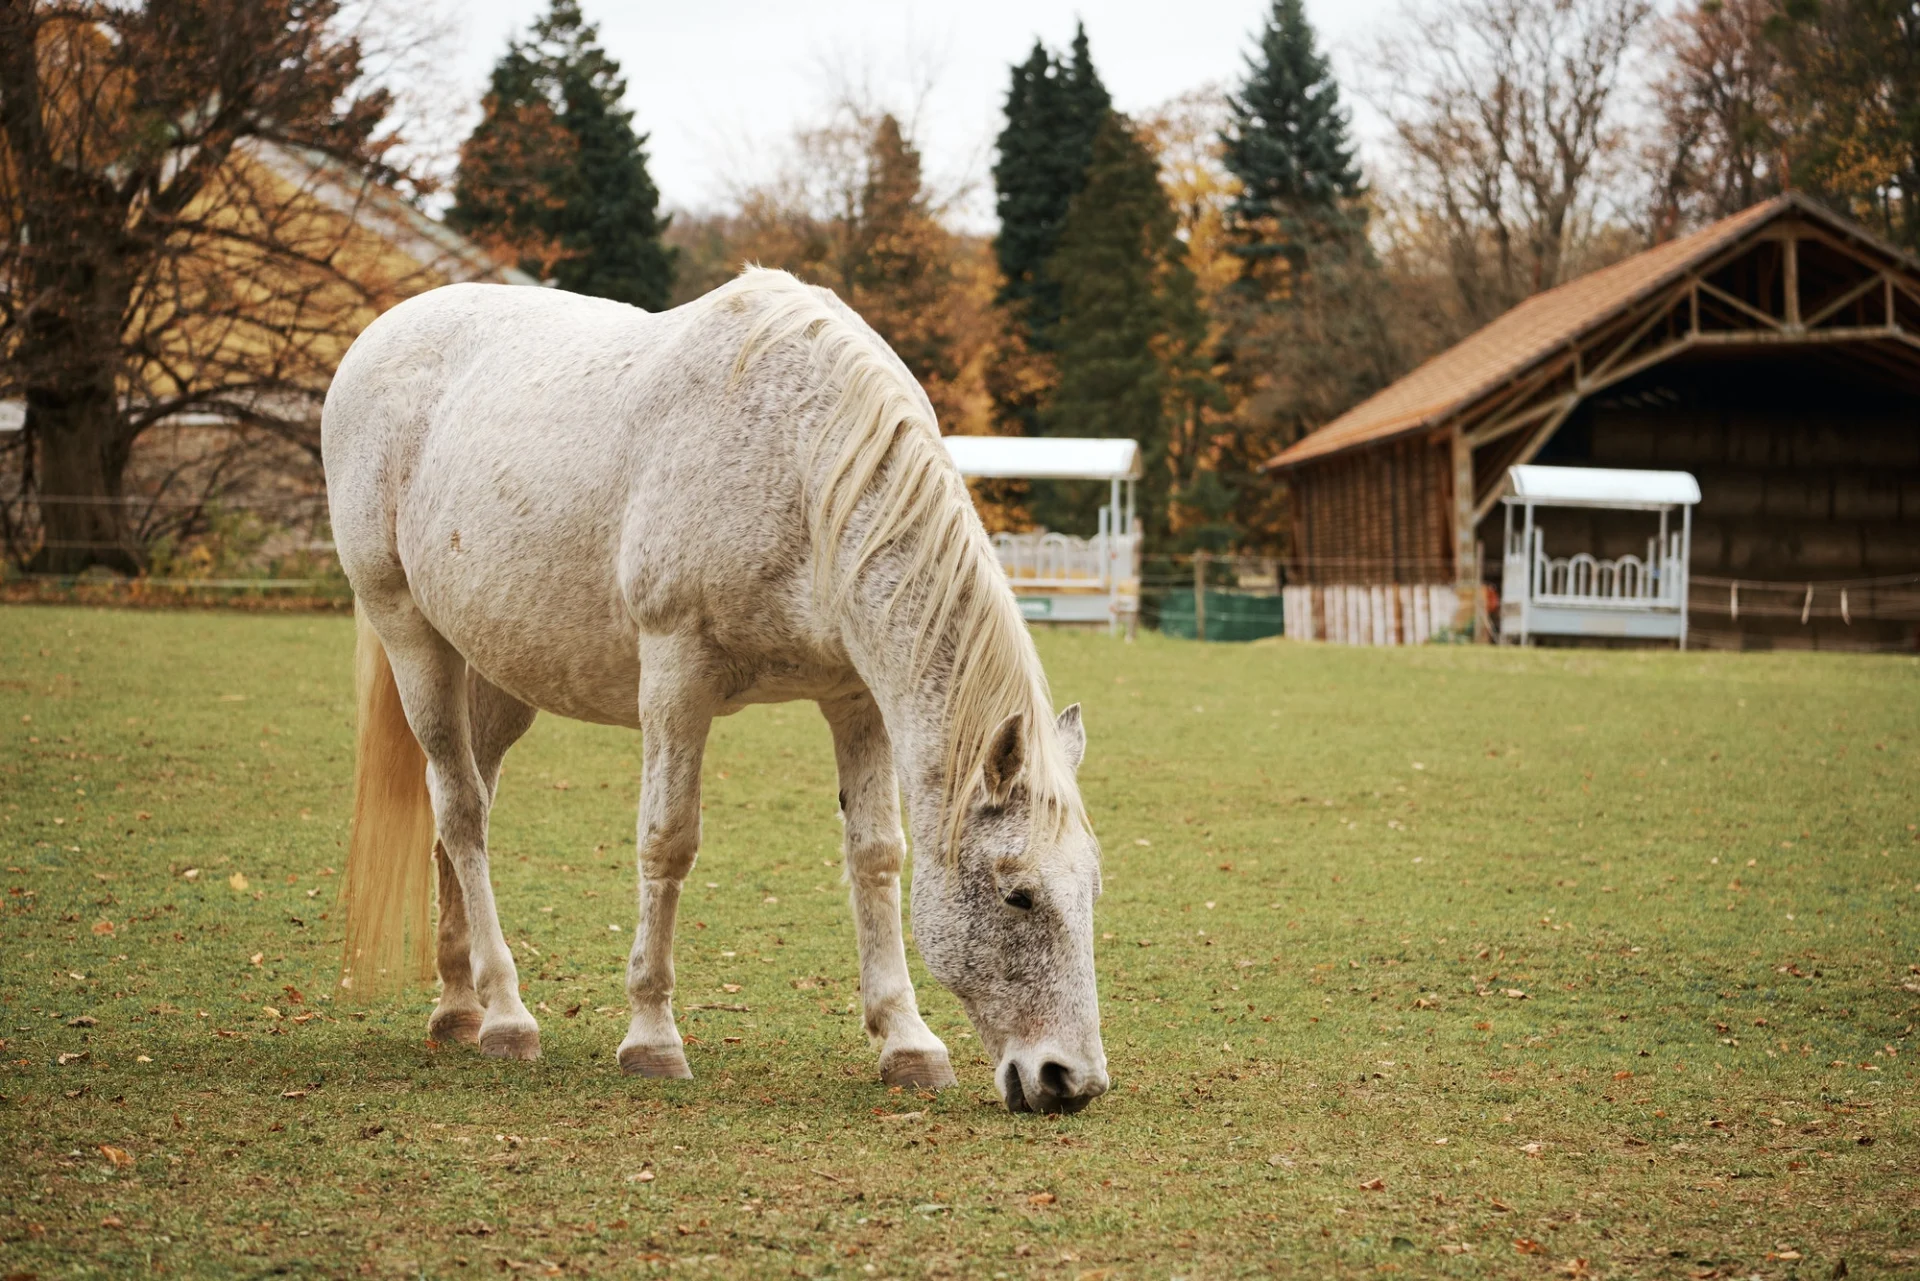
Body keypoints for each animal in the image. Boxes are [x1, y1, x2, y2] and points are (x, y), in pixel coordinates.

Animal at [320, 268, 1108, 1114]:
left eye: (1090, 889)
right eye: (1018, 894)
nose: (1069, 1079)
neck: (803, 460)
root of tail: (381, 335)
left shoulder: (857, 701)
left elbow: (875, 854)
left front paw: (906, 1040)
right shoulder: (676, 678)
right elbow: (667, 841)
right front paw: (651, 1036)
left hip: (498, 677)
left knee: (459, 809)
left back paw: (457, 1007)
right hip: (413, 639)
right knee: (463, 812)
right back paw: (505, 1014)